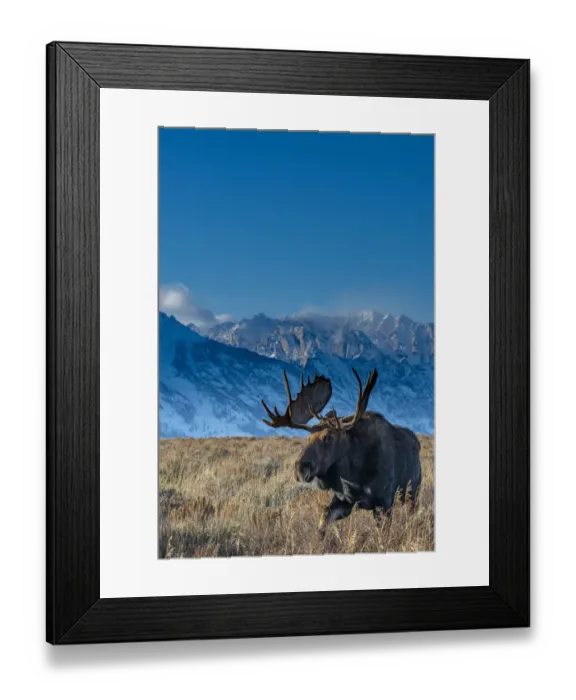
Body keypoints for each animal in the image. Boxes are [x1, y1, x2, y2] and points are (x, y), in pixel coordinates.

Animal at [261, 368, 422, 531]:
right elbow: (323, 520)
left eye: (329, 437)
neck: (356, 474)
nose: (300, 469)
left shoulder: (384, 503)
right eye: (309, 437)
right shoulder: (344, 500)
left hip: (412, 492)